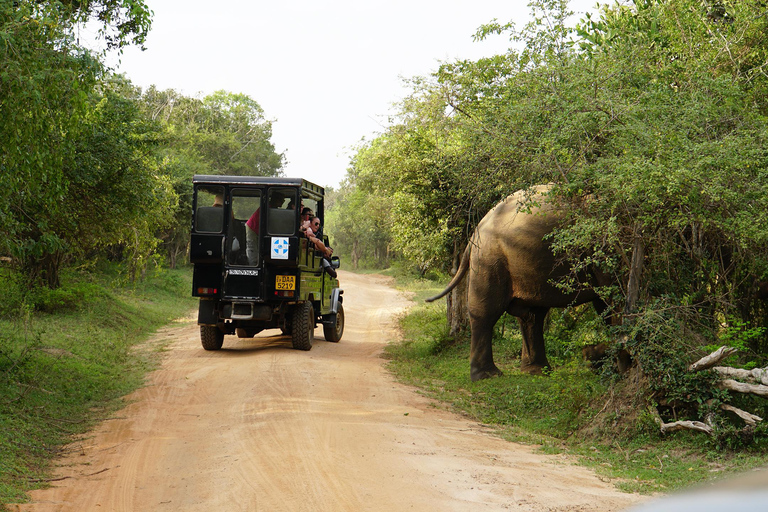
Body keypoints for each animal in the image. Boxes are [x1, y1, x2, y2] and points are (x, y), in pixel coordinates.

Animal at [424, 184, 608, 380]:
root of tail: (476, 231)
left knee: (532, 315)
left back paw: (538, 372)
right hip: (490, 259)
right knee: (487, 312)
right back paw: (488, 376)